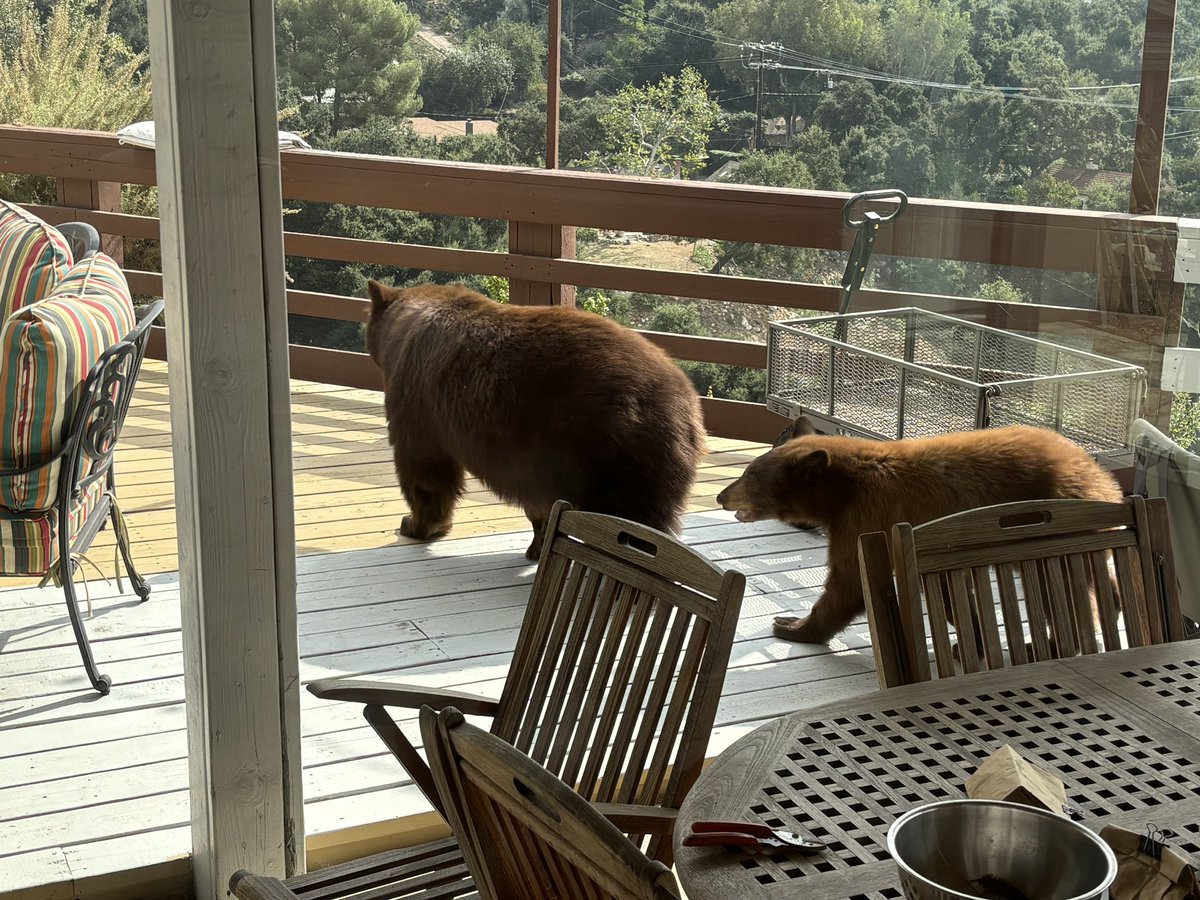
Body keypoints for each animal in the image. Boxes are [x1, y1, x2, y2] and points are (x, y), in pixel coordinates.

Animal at [365, 280, 706, 560]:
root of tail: (685, 406)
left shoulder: (417, 399)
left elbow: (423, 465)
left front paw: (417, 523)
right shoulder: (534, 461)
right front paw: (539, 543)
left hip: (611, 455)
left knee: (629, 521)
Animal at [715, 416, 1123, 643]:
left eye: (750, 474)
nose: (721, 495)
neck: (842, 489)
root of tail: (1098, 474)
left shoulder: (867, 517)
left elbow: (849, 581)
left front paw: (794, 625)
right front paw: (972, 636)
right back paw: (1115, 603)